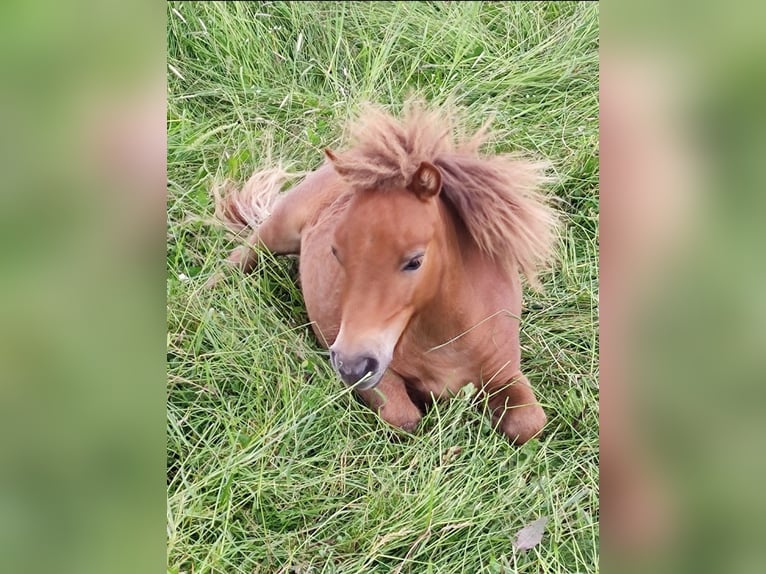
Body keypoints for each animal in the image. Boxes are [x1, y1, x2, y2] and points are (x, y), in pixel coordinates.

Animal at [213, 100, 560, 446]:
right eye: (337, 252)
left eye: (415, 261)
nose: (352, 366)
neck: (447, 340)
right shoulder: (383, 377)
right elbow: (404, 418)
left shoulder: (505, 373)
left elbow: (530, 423)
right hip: (278, 229)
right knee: (240, 256)